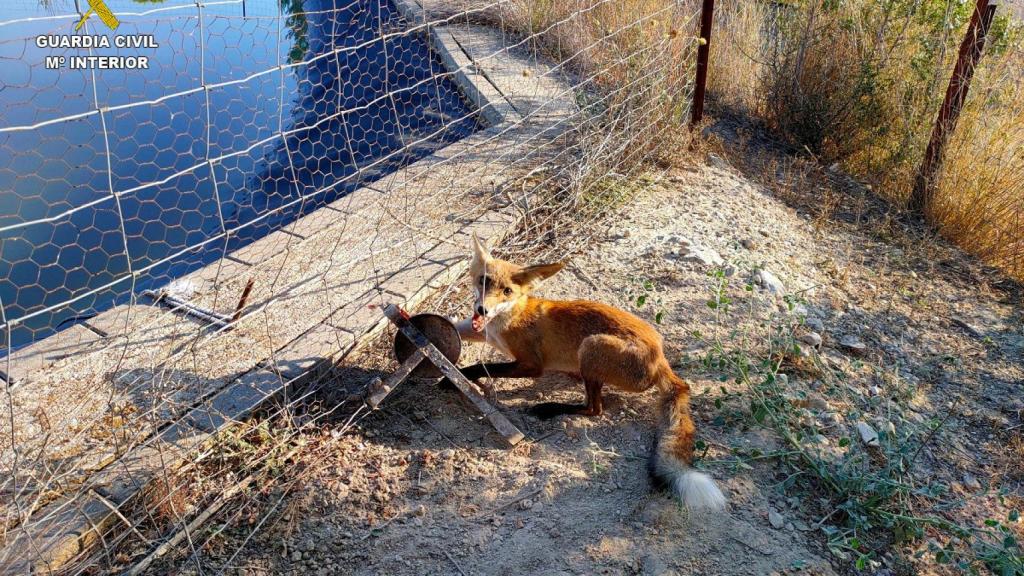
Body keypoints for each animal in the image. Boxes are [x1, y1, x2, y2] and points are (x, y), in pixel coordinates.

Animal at [453, 234, 726, 511]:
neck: (509, 319)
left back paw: (549, 408)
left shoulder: (531, 364)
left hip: (589, 348)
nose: (482, 310)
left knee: (594, 409)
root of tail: (660, 358)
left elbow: (483, 367)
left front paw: (454, 378)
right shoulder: (477, 330)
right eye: (483, 281)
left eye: (507, 291)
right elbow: (455, 328)